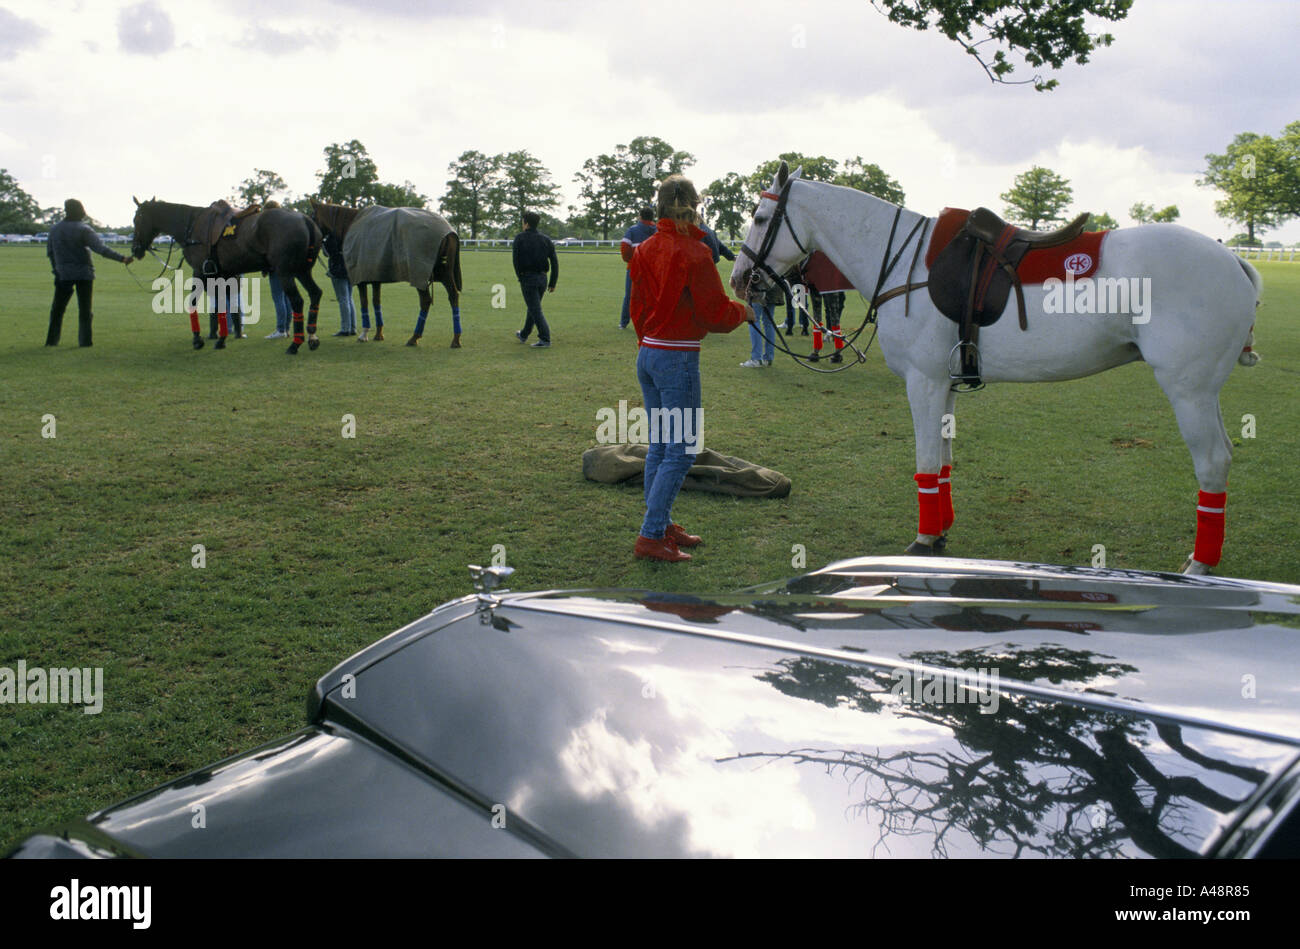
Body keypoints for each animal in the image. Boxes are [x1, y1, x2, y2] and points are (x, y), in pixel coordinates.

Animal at [309, 197, 462, 345]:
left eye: (312, 216)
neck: (352, 223)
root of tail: (448, 232)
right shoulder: (375, 276)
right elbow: (376, 302)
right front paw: (378, 334)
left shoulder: (361, 279)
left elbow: (364, 302)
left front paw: (364, 334)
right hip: (444, 273)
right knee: (453, 296)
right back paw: (456, 338)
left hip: (420, 275)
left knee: (426, 301)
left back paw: (415, 337)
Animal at [733, 162, 1258, 572]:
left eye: (760, 217)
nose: (740, 280)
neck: (905, 265)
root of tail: (1236, 261)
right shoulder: (944, 383)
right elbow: (944, 462)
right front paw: (941, 530)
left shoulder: (923, 382)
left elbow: (926, 462)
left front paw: (923, 541)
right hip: (1203, 390)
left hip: (1187, 389)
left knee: (1213, 462)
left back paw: (1199, 565)